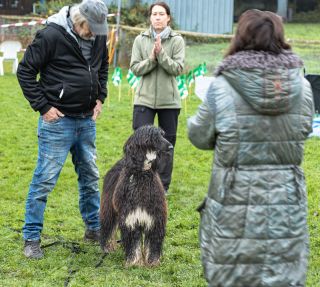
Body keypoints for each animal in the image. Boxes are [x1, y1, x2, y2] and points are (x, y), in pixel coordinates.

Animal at [100, 126, 172, 268]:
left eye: (162, 134)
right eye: (153, 137)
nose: (171, 147)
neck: (142, 174)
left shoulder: (154, 217)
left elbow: (153, 243)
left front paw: (152, 262)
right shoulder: (131, 217)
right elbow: (134, 243)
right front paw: (134, 262)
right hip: (109, 206)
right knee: (108, 225)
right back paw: (107, 247)